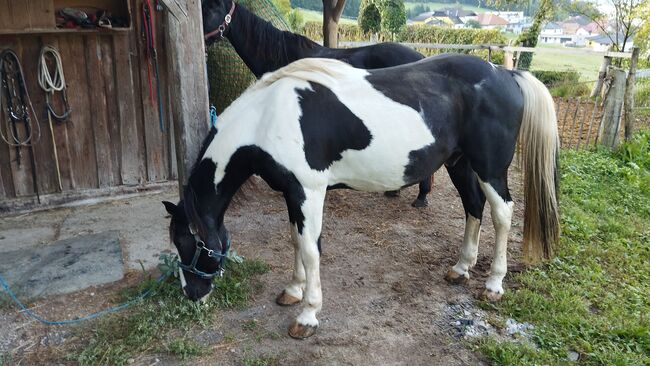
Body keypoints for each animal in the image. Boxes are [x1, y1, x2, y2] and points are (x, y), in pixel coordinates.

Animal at [165, 55, 560, 340]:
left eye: (189, 244)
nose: (191, 293)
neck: (268, 117)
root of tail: (506, 73)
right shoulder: (292, 193)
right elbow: (295, 241)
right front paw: (292, 290)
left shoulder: (309, 191)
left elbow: (310, 250)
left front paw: (307, 315)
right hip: (459, 164)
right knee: (473, 207)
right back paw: (461, 268)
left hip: (489, 168)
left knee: (502, 214)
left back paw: (493, 284)